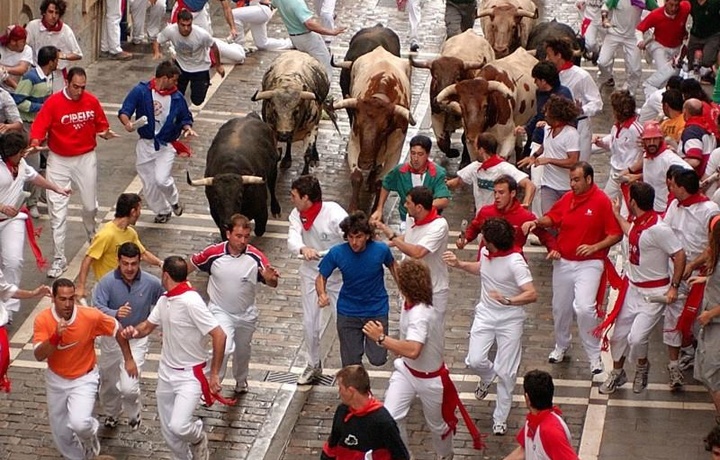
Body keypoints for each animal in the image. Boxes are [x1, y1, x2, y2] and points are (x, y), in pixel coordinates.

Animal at [334, 45, 416, 211]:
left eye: (384, 129)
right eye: (358, 124)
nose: (365, 162)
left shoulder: (394, 152)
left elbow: (382, 182)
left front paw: (375, 210)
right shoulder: (355, 143)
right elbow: (356, 176)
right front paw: (353, 208)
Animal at [410, 29, 496, 164]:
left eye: (457, 77)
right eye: (435, 77)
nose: (439, 101)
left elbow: (467, 138)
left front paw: (464, 160)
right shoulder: (436, 113)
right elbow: (442, 142)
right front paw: (452, 152)